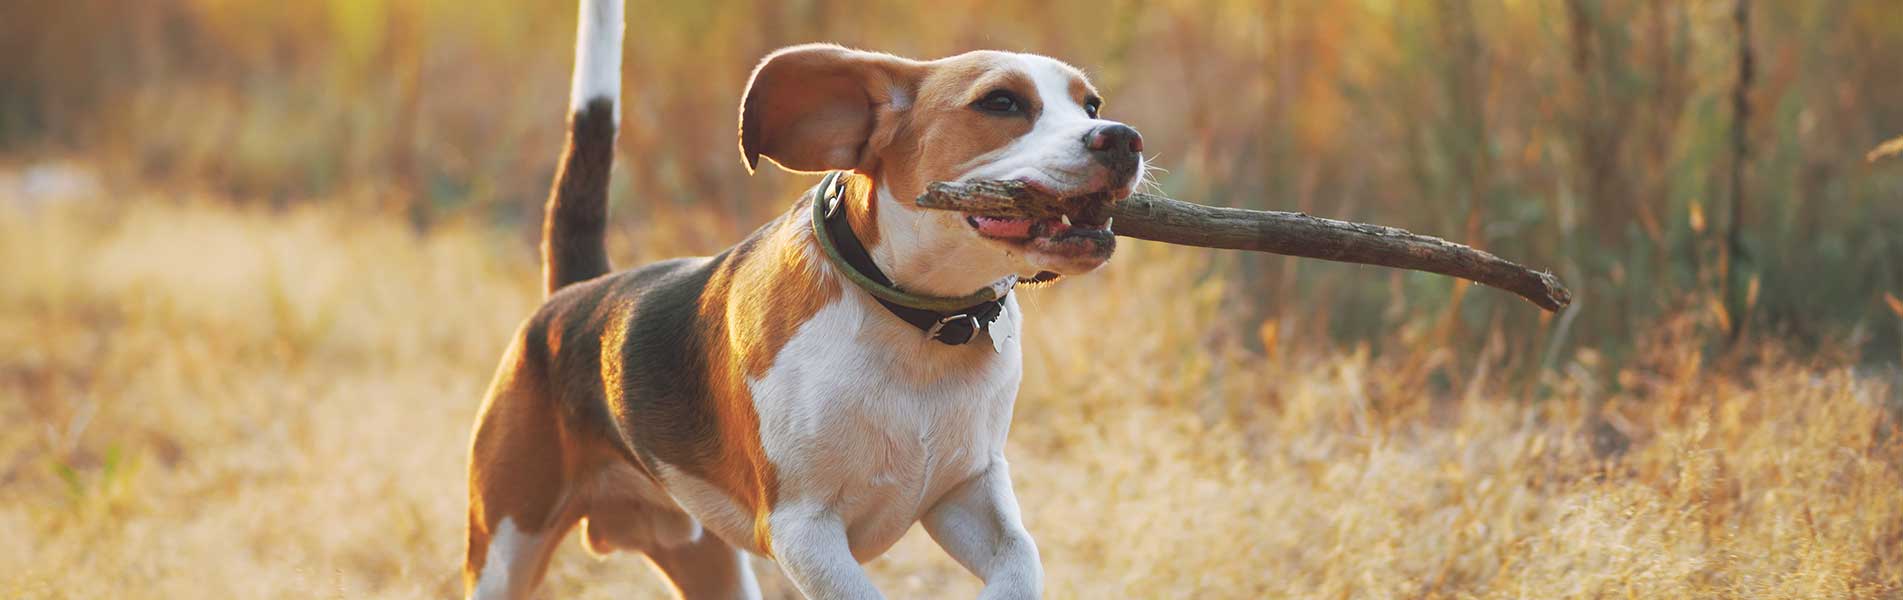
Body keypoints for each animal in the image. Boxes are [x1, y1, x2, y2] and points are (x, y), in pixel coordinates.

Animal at [462, 2, 1149, 598]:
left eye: (1090, 105)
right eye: (1001, 102)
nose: (1121, 138)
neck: (920, 324)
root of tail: (576, 296)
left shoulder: (968, 497)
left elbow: (1020, 560)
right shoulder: (803, 529)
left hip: (707, 560)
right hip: (502, 551)